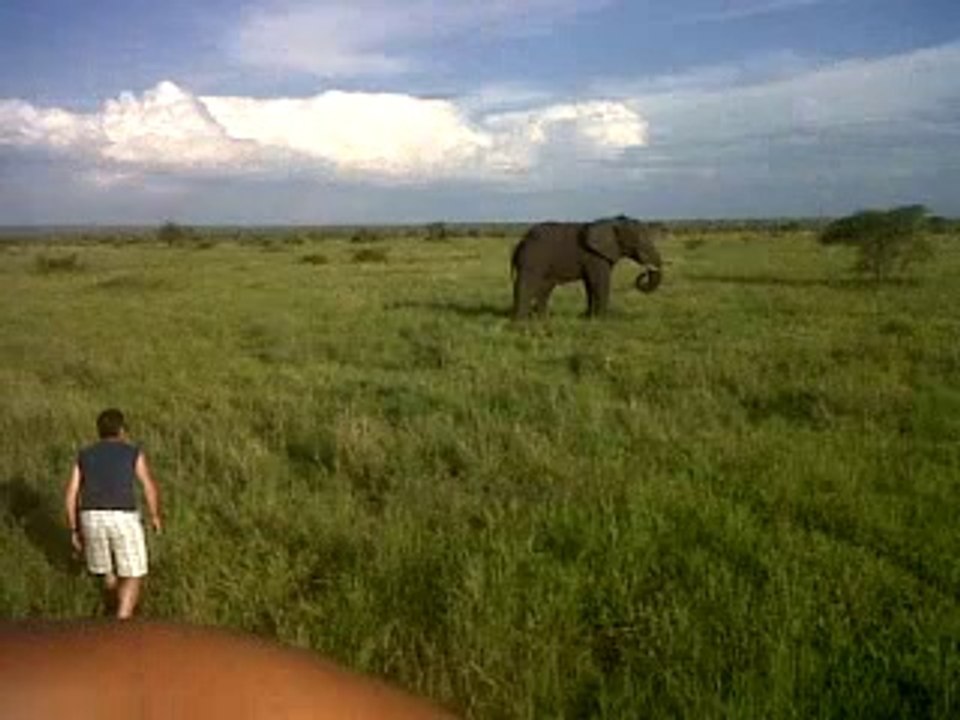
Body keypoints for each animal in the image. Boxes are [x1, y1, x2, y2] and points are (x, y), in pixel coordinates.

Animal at [511, 216, 664, 319]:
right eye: (639, 241)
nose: (644, 273)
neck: (612, 222)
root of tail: (521, 242)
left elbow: (590, 285)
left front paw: (589, 318)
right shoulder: (595, 257)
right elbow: (600, 283)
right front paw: (602, 320)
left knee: (545, 289)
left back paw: (543, 320)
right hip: (532, 259)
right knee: (525, 285)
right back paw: (521, 324)